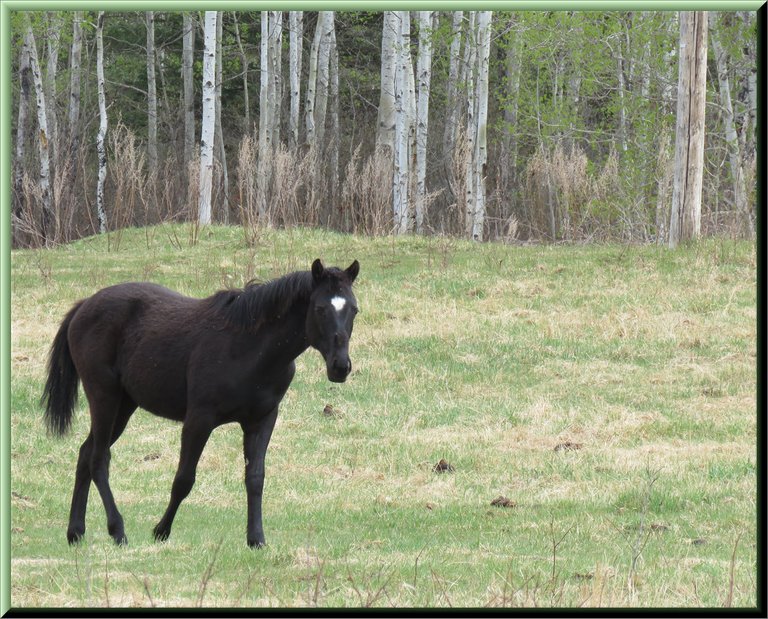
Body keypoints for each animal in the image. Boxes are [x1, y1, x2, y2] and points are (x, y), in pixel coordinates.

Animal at [39, 260, 356, 548]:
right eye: (320, 309)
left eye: (353, 309)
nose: (340, 367)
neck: (249, 348)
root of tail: (84, 305)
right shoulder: (199, 421)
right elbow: (184, 479)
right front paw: (161, 531)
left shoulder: (262, 420)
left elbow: (255, 478)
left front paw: (256, 539)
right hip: (104, 396)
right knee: (98, 459)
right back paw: (117, 530)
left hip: (124, 406)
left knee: (85, 454)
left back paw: (75, 532)